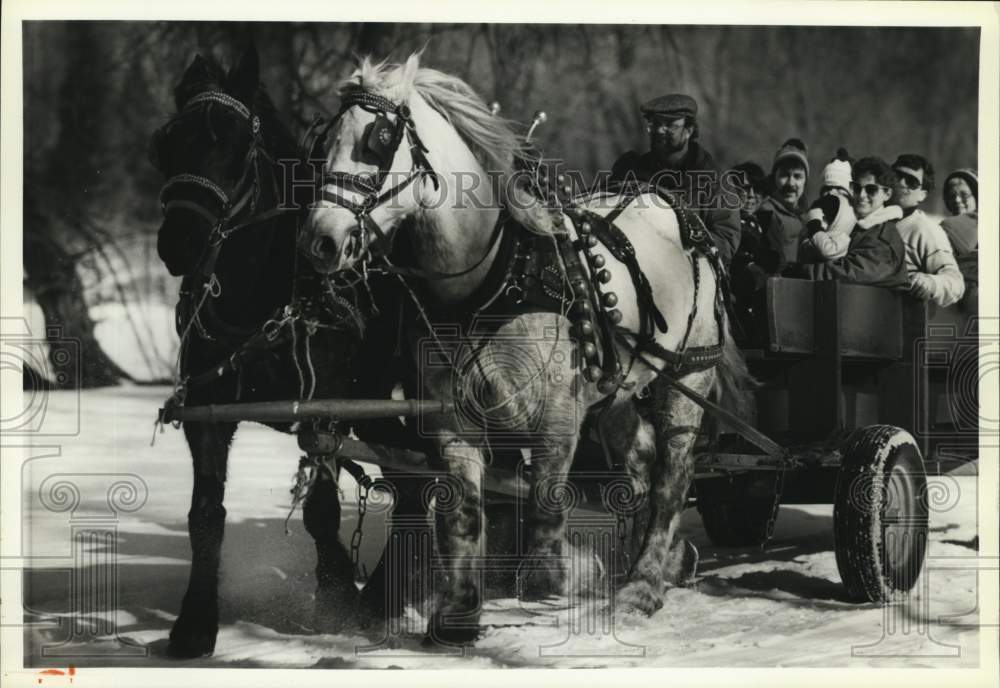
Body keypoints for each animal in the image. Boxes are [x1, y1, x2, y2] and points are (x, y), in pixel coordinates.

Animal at [150, 47, 423, 657]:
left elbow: (321, 512)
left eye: (234, 144)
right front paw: (195, 624)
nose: (179, 242)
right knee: (415, 475)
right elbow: (205, 514)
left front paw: (337, 599)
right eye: (165, 142)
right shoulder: (207, 414)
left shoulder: (325, 410)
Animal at [301, 55, 752, 645]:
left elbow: (544, 516)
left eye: (379, 139)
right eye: (324, 141)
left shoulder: (557, 415)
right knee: (641, 461)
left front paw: (569, 575)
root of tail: (676, 209)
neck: (491, 282)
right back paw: (664, 560)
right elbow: (464, 516)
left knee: (670, 478)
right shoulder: (451, 420)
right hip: (616, 391)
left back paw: (642, 585)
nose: (322, 241)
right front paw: (458, 615)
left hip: (687, 378)